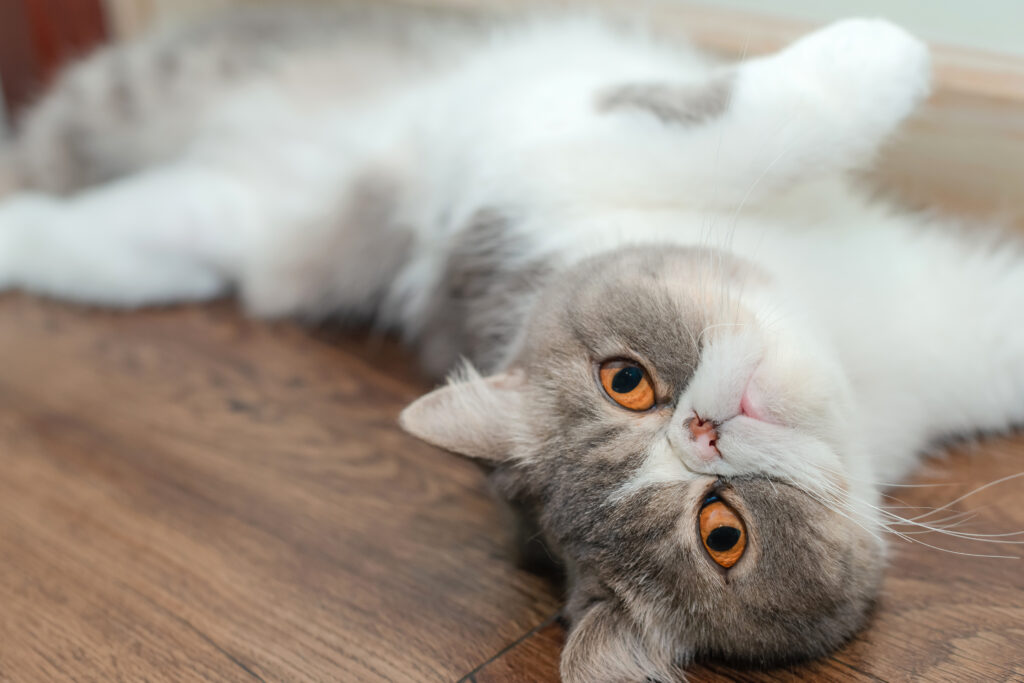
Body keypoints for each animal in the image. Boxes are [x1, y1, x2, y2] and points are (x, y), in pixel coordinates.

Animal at [2, 6, 1024, 683]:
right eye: (721, 532)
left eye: (625, 380)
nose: (707, 428)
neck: (849, 330)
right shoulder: (535, 163)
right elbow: (736, 119)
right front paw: (885, 52)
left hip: (183, 222)